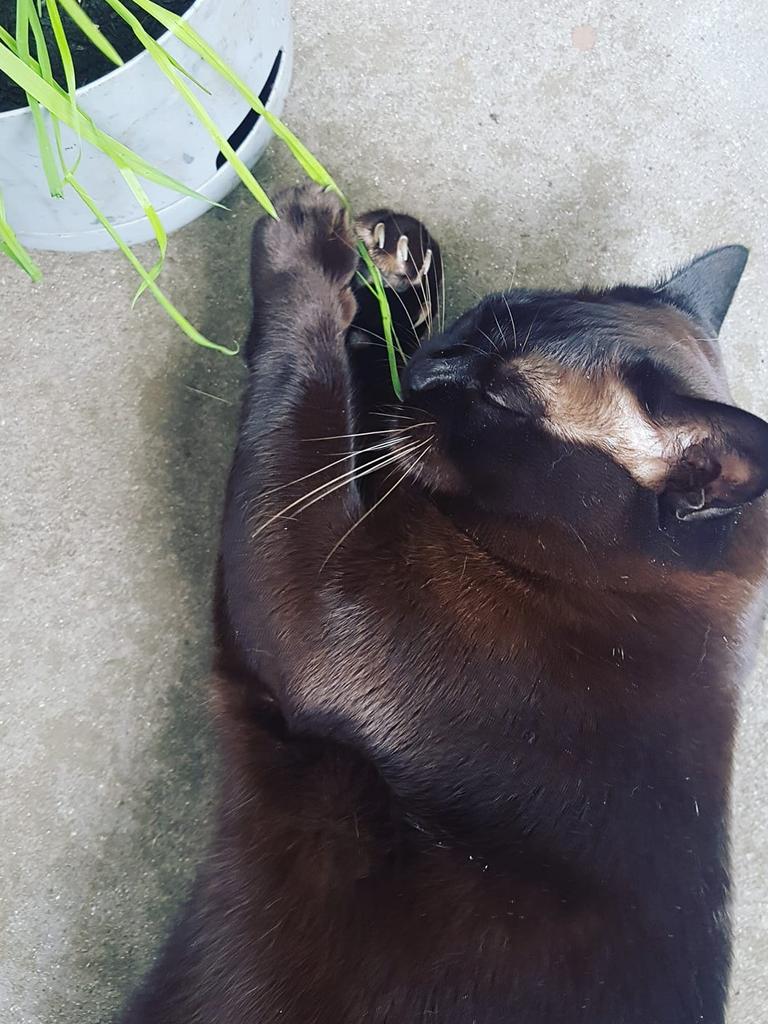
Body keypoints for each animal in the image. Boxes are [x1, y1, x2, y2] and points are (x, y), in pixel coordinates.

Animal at [120, 186, 768, 1024]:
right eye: (478, 318)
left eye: (502, 397)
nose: (434, 365)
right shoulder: (378, 455)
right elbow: (360, 374)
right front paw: (399, 261)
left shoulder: (312, 582)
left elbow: (310, 391)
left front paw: (308, 247)